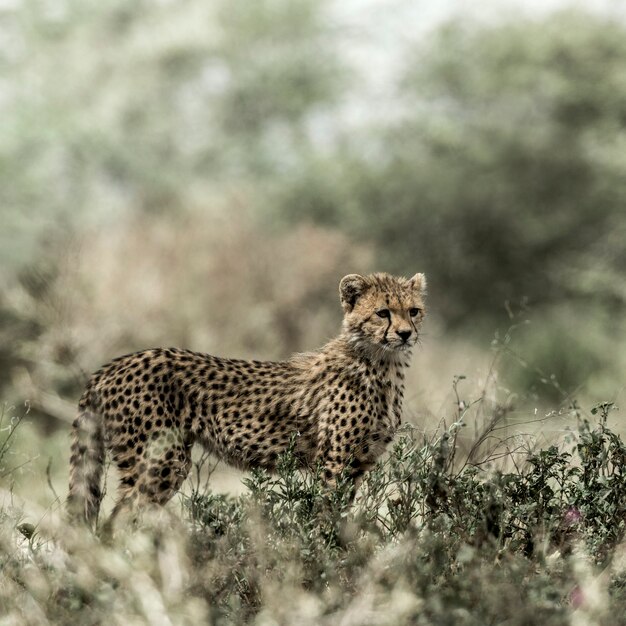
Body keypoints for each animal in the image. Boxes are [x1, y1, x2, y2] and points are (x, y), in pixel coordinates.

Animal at [67, 272, 424, 528]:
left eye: (414, 311)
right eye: (382, 313)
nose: (406, 334)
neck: (381, 362)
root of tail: (111, 366)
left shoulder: (357, 464)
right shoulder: (334, 464)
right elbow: (328, 520)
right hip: (161, 460)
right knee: (120, 521)